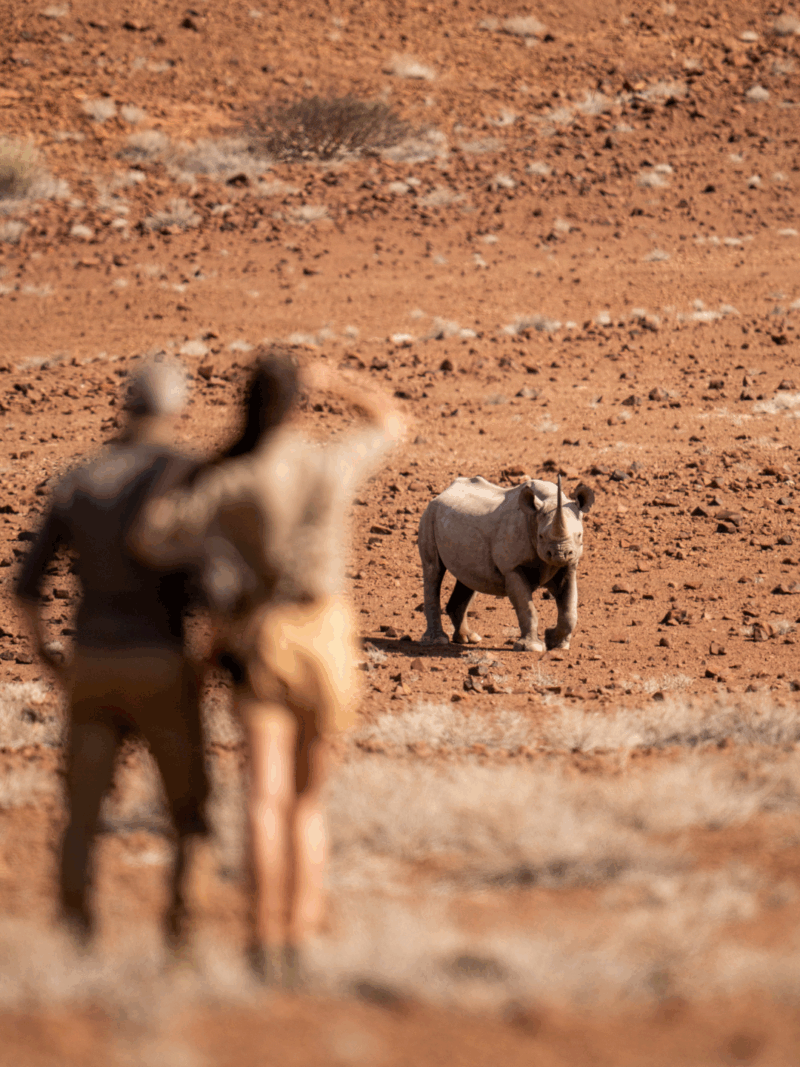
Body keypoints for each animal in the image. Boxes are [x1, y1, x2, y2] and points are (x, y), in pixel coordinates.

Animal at [418, 474, 595, 652]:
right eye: (541, 536)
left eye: (579, 535)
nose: (560, 554)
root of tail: (441, 494)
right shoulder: (512, 568)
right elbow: (527, 608)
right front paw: (532, 648)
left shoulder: (568, 566)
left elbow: (569, 610)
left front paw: (556, 643)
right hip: (429, 515)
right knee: (433, 571)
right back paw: (437, 641)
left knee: (468, 578)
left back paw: (468, 638)